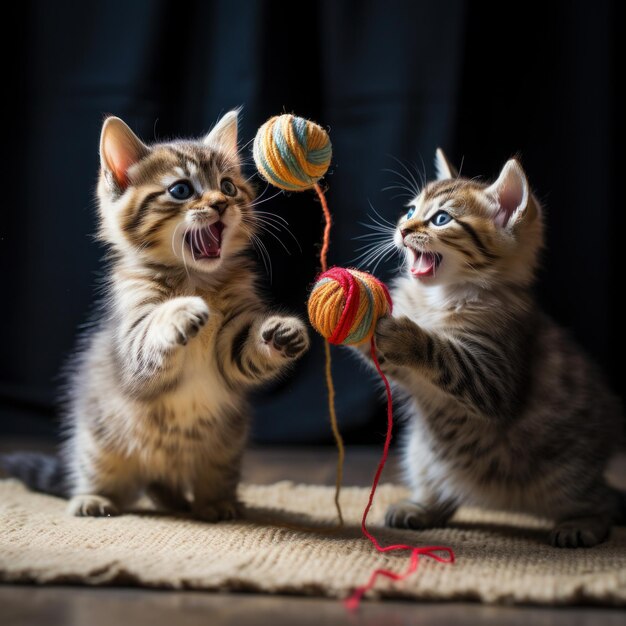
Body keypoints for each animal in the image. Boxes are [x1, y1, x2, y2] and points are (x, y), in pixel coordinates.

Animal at [1, 111, 308, 516]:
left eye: (227, 187)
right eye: (181, 190)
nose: (221, 204)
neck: (196, 279)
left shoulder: (230, 343)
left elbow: (243, 349)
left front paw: (282, 330)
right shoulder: (132, 339)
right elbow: (151, 330)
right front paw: (181, 310)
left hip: (225, 449)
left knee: (194, 485)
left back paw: (212, 503)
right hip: (98, 444)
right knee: (103, 478)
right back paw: (94, 498)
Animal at [364, 150, 620, 544]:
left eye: (441, 219)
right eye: (409, 211)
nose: (403, 229)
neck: (438, 299)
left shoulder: (495, 377)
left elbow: (443, 354)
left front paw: (408, 334)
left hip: (567, 475)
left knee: (602, 501)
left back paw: (582, 525)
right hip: (420, 453)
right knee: (443, 494)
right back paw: (422, 507)